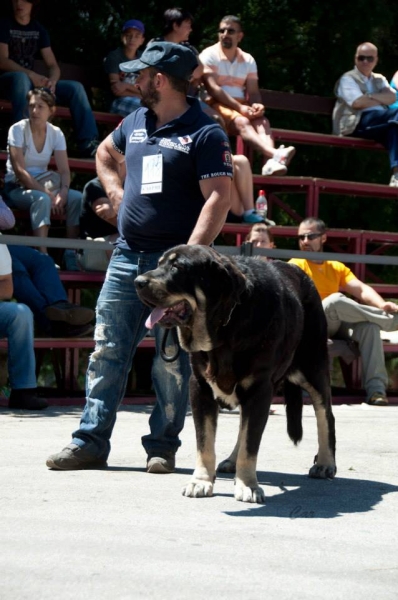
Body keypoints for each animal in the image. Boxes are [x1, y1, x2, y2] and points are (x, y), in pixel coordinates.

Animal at [134, 244, 336, 502]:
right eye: (159, 263)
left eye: (177, 267)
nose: (138, 281)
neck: (224, 328)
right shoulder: (200, 387)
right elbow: (205, 442)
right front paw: (201, 481)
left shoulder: (259, 389)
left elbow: (250, 445)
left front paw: (247, 485)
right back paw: (231, 460)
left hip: (314, 368)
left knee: (325, 415)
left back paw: (325, 463)